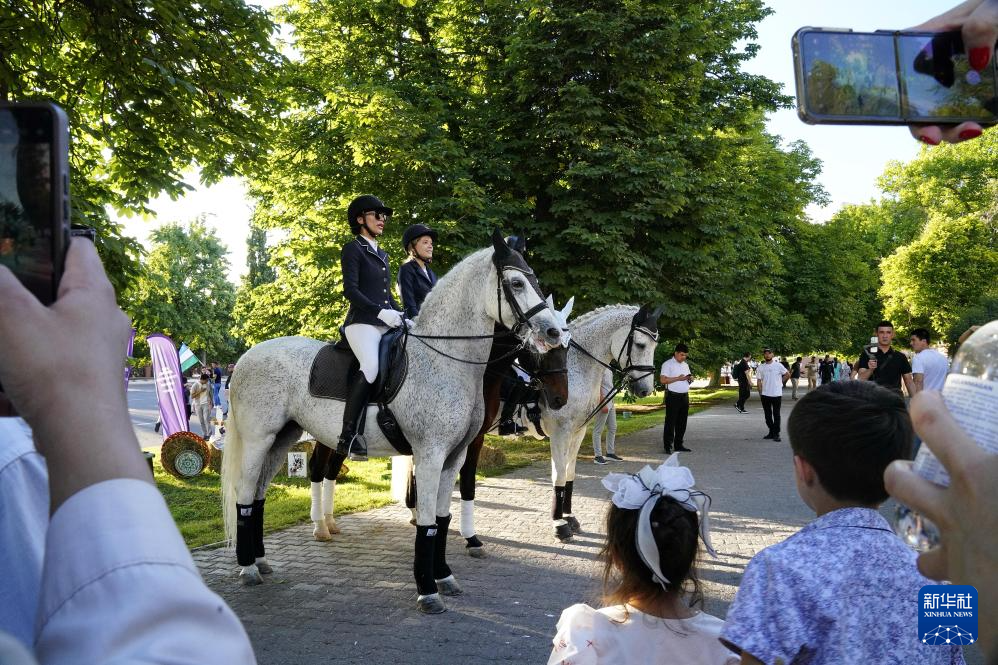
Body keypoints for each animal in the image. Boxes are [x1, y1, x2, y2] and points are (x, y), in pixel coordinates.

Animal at [223, 233, 568, 612]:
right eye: (517, 283)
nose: (551, 331)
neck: (447, 362)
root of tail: (246, 357)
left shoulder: (454, 457)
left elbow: (442, 519)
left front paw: (445, 577)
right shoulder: (430, 455)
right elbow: (427, 522)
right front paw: (427, 590)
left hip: (282, 439)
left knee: (258, 495)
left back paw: (261, 561)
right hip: (259, 439)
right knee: (245, 495)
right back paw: (248, 568)